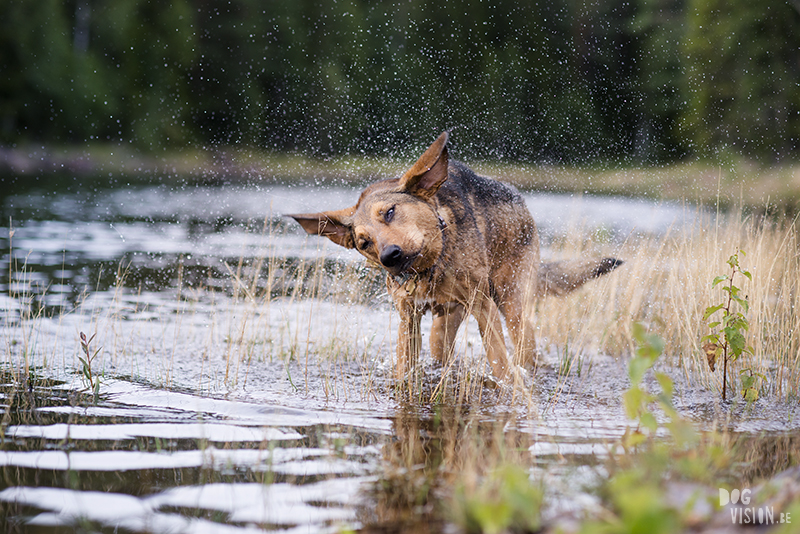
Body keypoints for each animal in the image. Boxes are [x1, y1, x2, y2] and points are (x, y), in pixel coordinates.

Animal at [290, 134, 620, 386]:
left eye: (390, 212)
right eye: (363, 242)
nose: (389, 256)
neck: (430, 269)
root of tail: (519, 200)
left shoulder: (483, 307)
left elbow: (499, 360)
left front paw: (509, 385)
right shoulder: (407, 317)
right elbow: (405, 366)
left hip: (512, 303)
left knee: (525, 349)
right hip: (443, 326)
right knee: (442, 352)